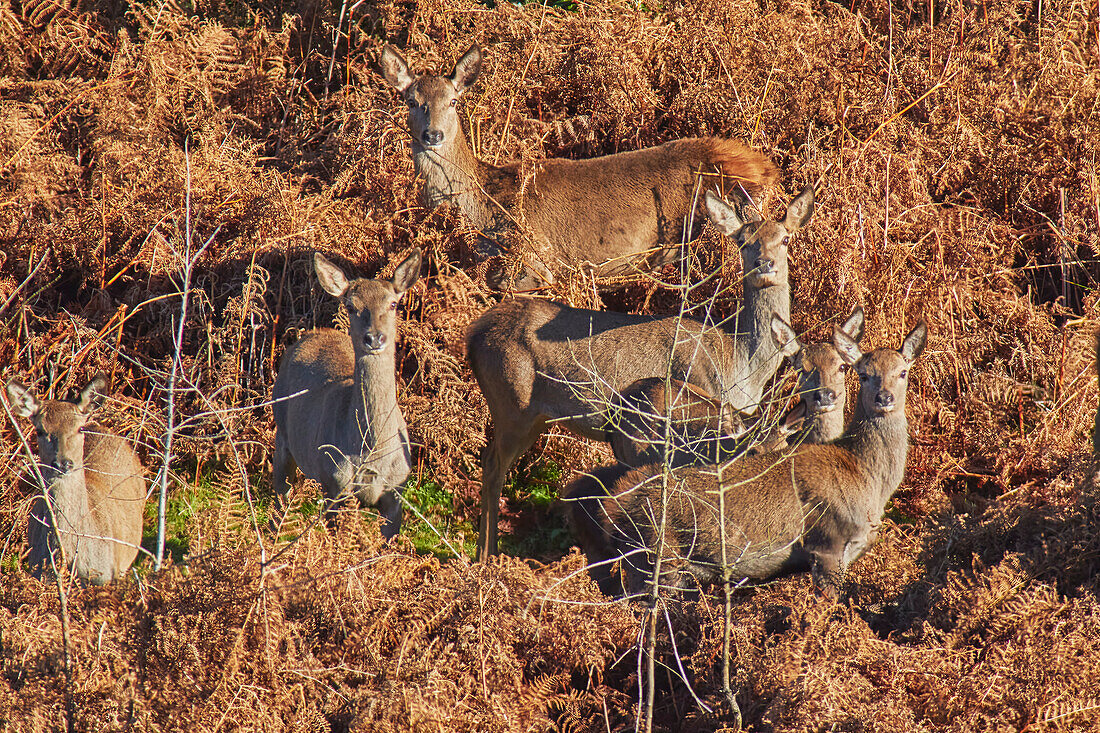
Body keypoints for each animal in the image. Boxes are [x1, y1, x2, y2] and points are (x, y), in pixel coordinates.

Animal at [270, 248, 420, 534]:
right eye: (351, 306)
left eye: (393, 304)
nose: (374, 338)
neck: (371, 455)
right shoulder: (335, 483)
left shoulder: (397, 489)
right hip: (281, 429)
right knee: (279, 491)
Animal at [466, 182, 818, 554]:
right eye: (743, 241)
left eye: (785, 238)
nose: (764, 264)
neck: (741, 364)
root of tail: (472, 336)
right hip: (511, 401)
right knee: (492, 466)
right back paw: (487, 554)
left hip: (535, 415)